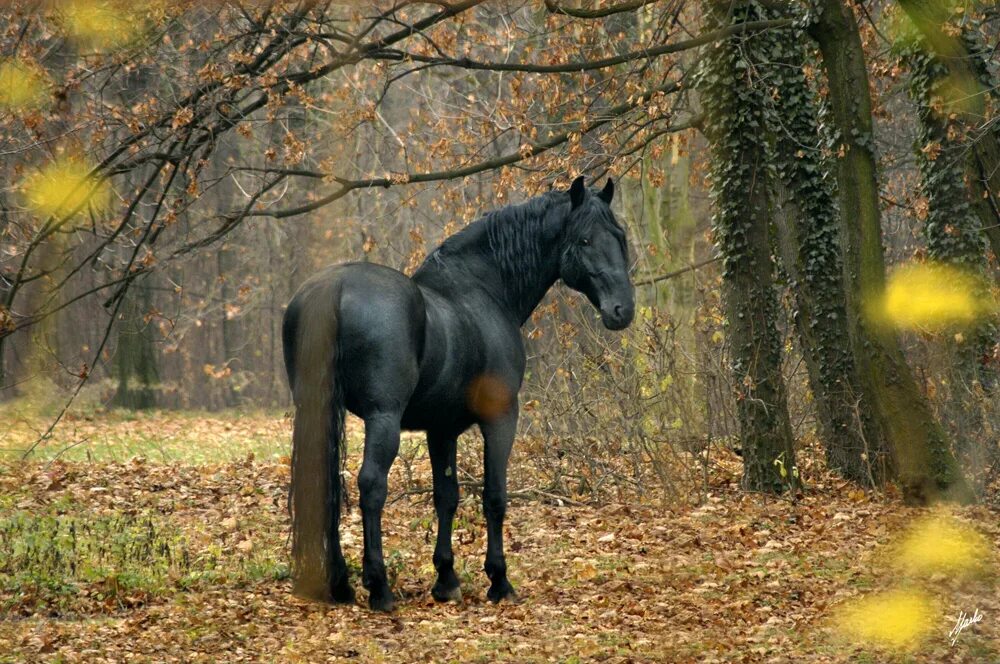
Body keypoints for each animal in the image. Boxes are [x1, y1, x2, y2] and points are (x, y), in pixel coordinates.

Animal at [284, 176, 632, 612]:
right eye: (584, 240)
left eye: (619, 236)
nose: (622, 310)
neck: (483, 289)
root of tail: (334, 287)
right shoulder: (501, 418)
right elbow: (494, 496)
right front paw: (499, 581)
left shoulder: (441, 429)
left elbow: (446, 496)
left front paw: (446, 579)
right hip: (383, 419)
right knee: (371, 486)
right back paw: (379, 587)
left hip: (317, 410)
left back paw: (340, 585)